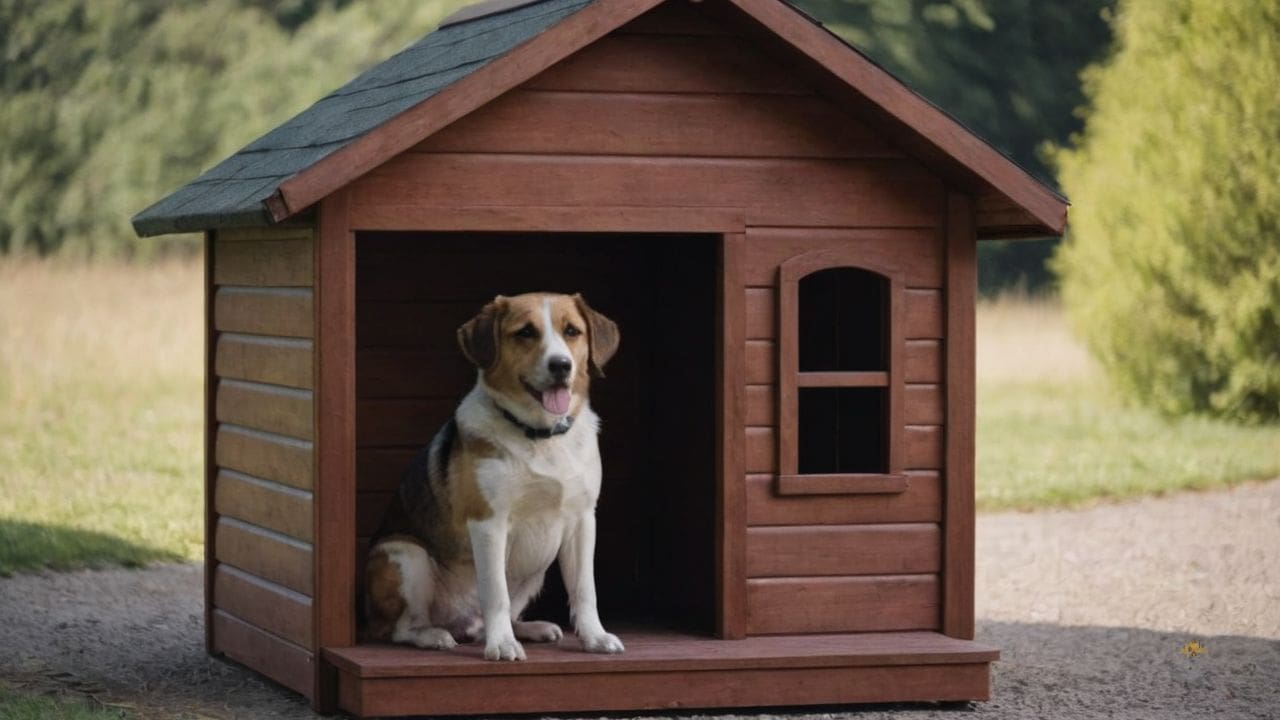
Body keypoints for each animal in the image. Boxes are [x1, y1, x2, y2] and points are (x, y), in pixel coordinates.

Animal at [363, 289, 622, 655]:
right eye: (525, 332)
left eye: (572, 331)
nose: (561, 365)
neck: (539, 435)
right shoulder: (489, 522)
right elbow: (495, 592)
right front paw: (502, 645)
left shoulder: (582, 520)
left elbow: (585, 589)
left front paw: (594, 636)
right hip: (404, 555)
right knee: (399, 628)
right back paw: (435, 636)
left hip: (535, 572)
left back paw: (529, 628)